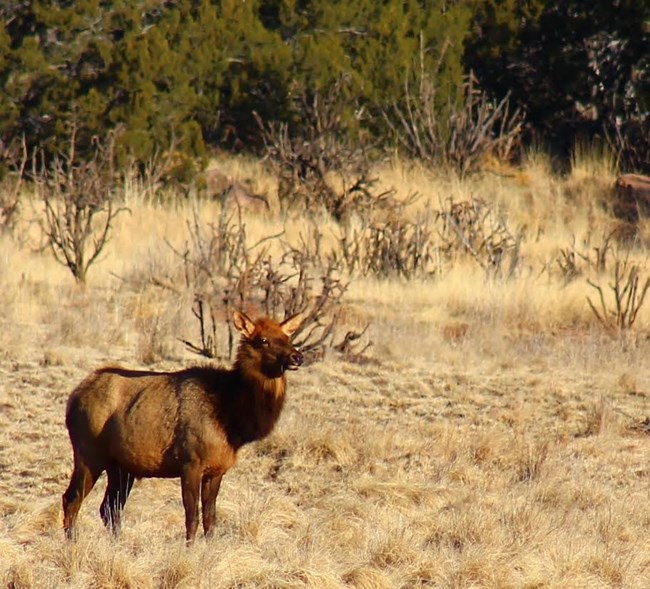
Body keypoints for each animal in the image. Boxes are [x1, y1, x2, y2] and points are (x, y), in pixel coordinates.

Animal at [61, 312, 304, 544]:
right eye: (263, 340)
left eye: (288, 337)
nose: (297, 356)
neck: (232, 422)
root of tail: (73, 398)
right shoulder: (190, 462)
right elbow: (192, 516)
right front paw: (189, 549)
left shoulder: (217, 469)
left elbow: (210, 518)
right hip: (88, 453)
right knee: (71, 499)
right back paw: (72, 543)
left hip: (121, 467)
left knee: (109, 508)